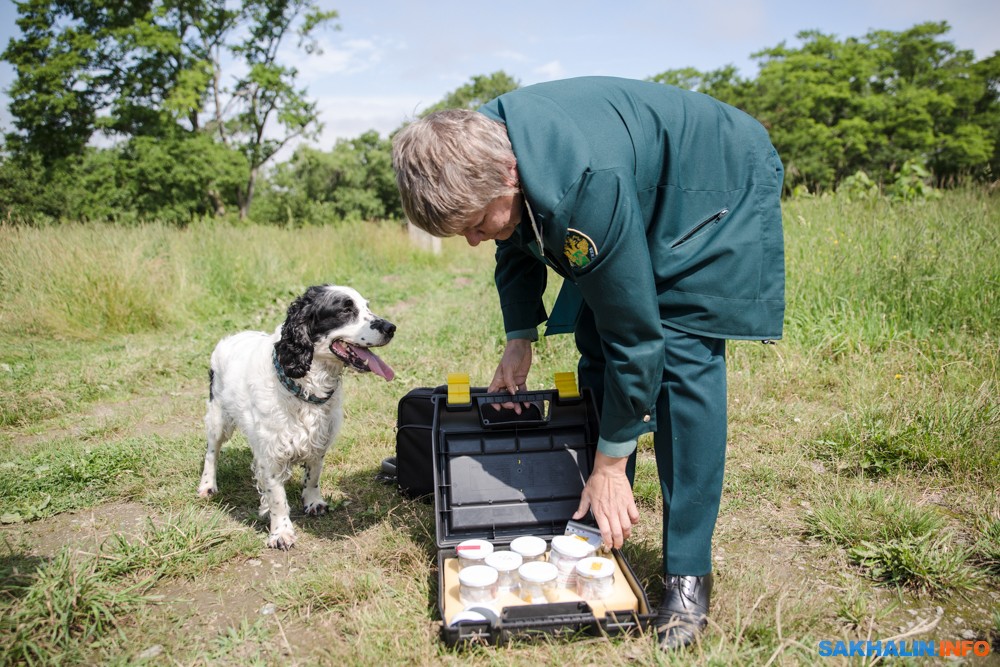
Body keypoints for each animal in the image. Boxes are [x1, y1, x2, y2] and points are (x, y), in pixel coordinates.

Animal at [197, 284, 396, 552]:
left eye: (367, 306)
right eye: (346, 310)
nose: (391, 328)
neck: (304, 386)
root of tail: (231, 338)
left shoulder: (318, 441)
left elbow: (312, 477)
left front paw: (313, 503)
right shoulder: (271, 452)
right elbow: (277, 497)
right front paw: (281, 532)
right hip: (218, 417)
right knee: (212, 452)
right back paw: (207, 485)